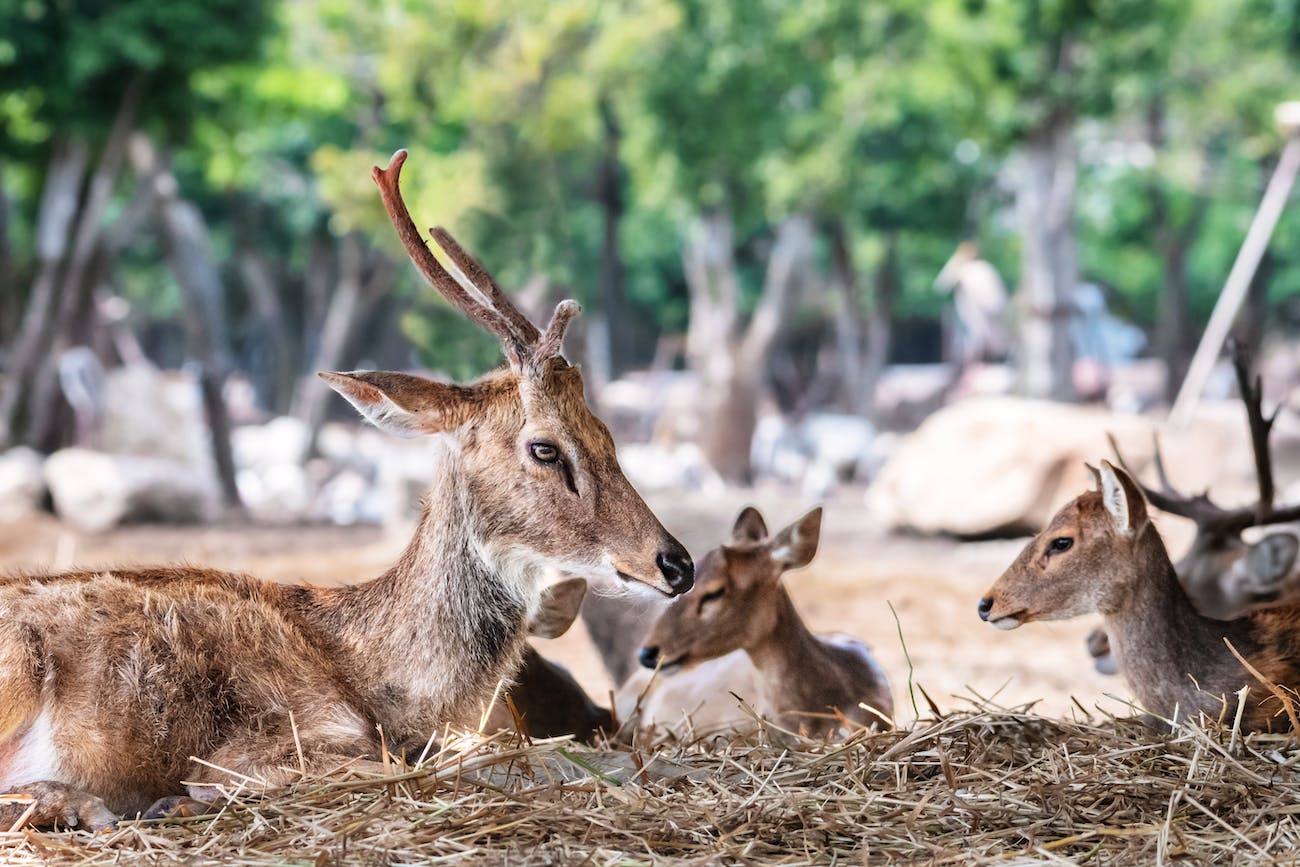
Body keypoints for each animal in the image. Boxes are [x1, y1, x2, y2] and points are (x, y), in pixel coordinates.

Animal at [0, 150, 691, 831]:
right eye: (545, 447)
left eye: (606, 433)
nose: (676, 563)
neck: (381, 682)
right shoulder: (271, 744)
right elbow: (453, 767)